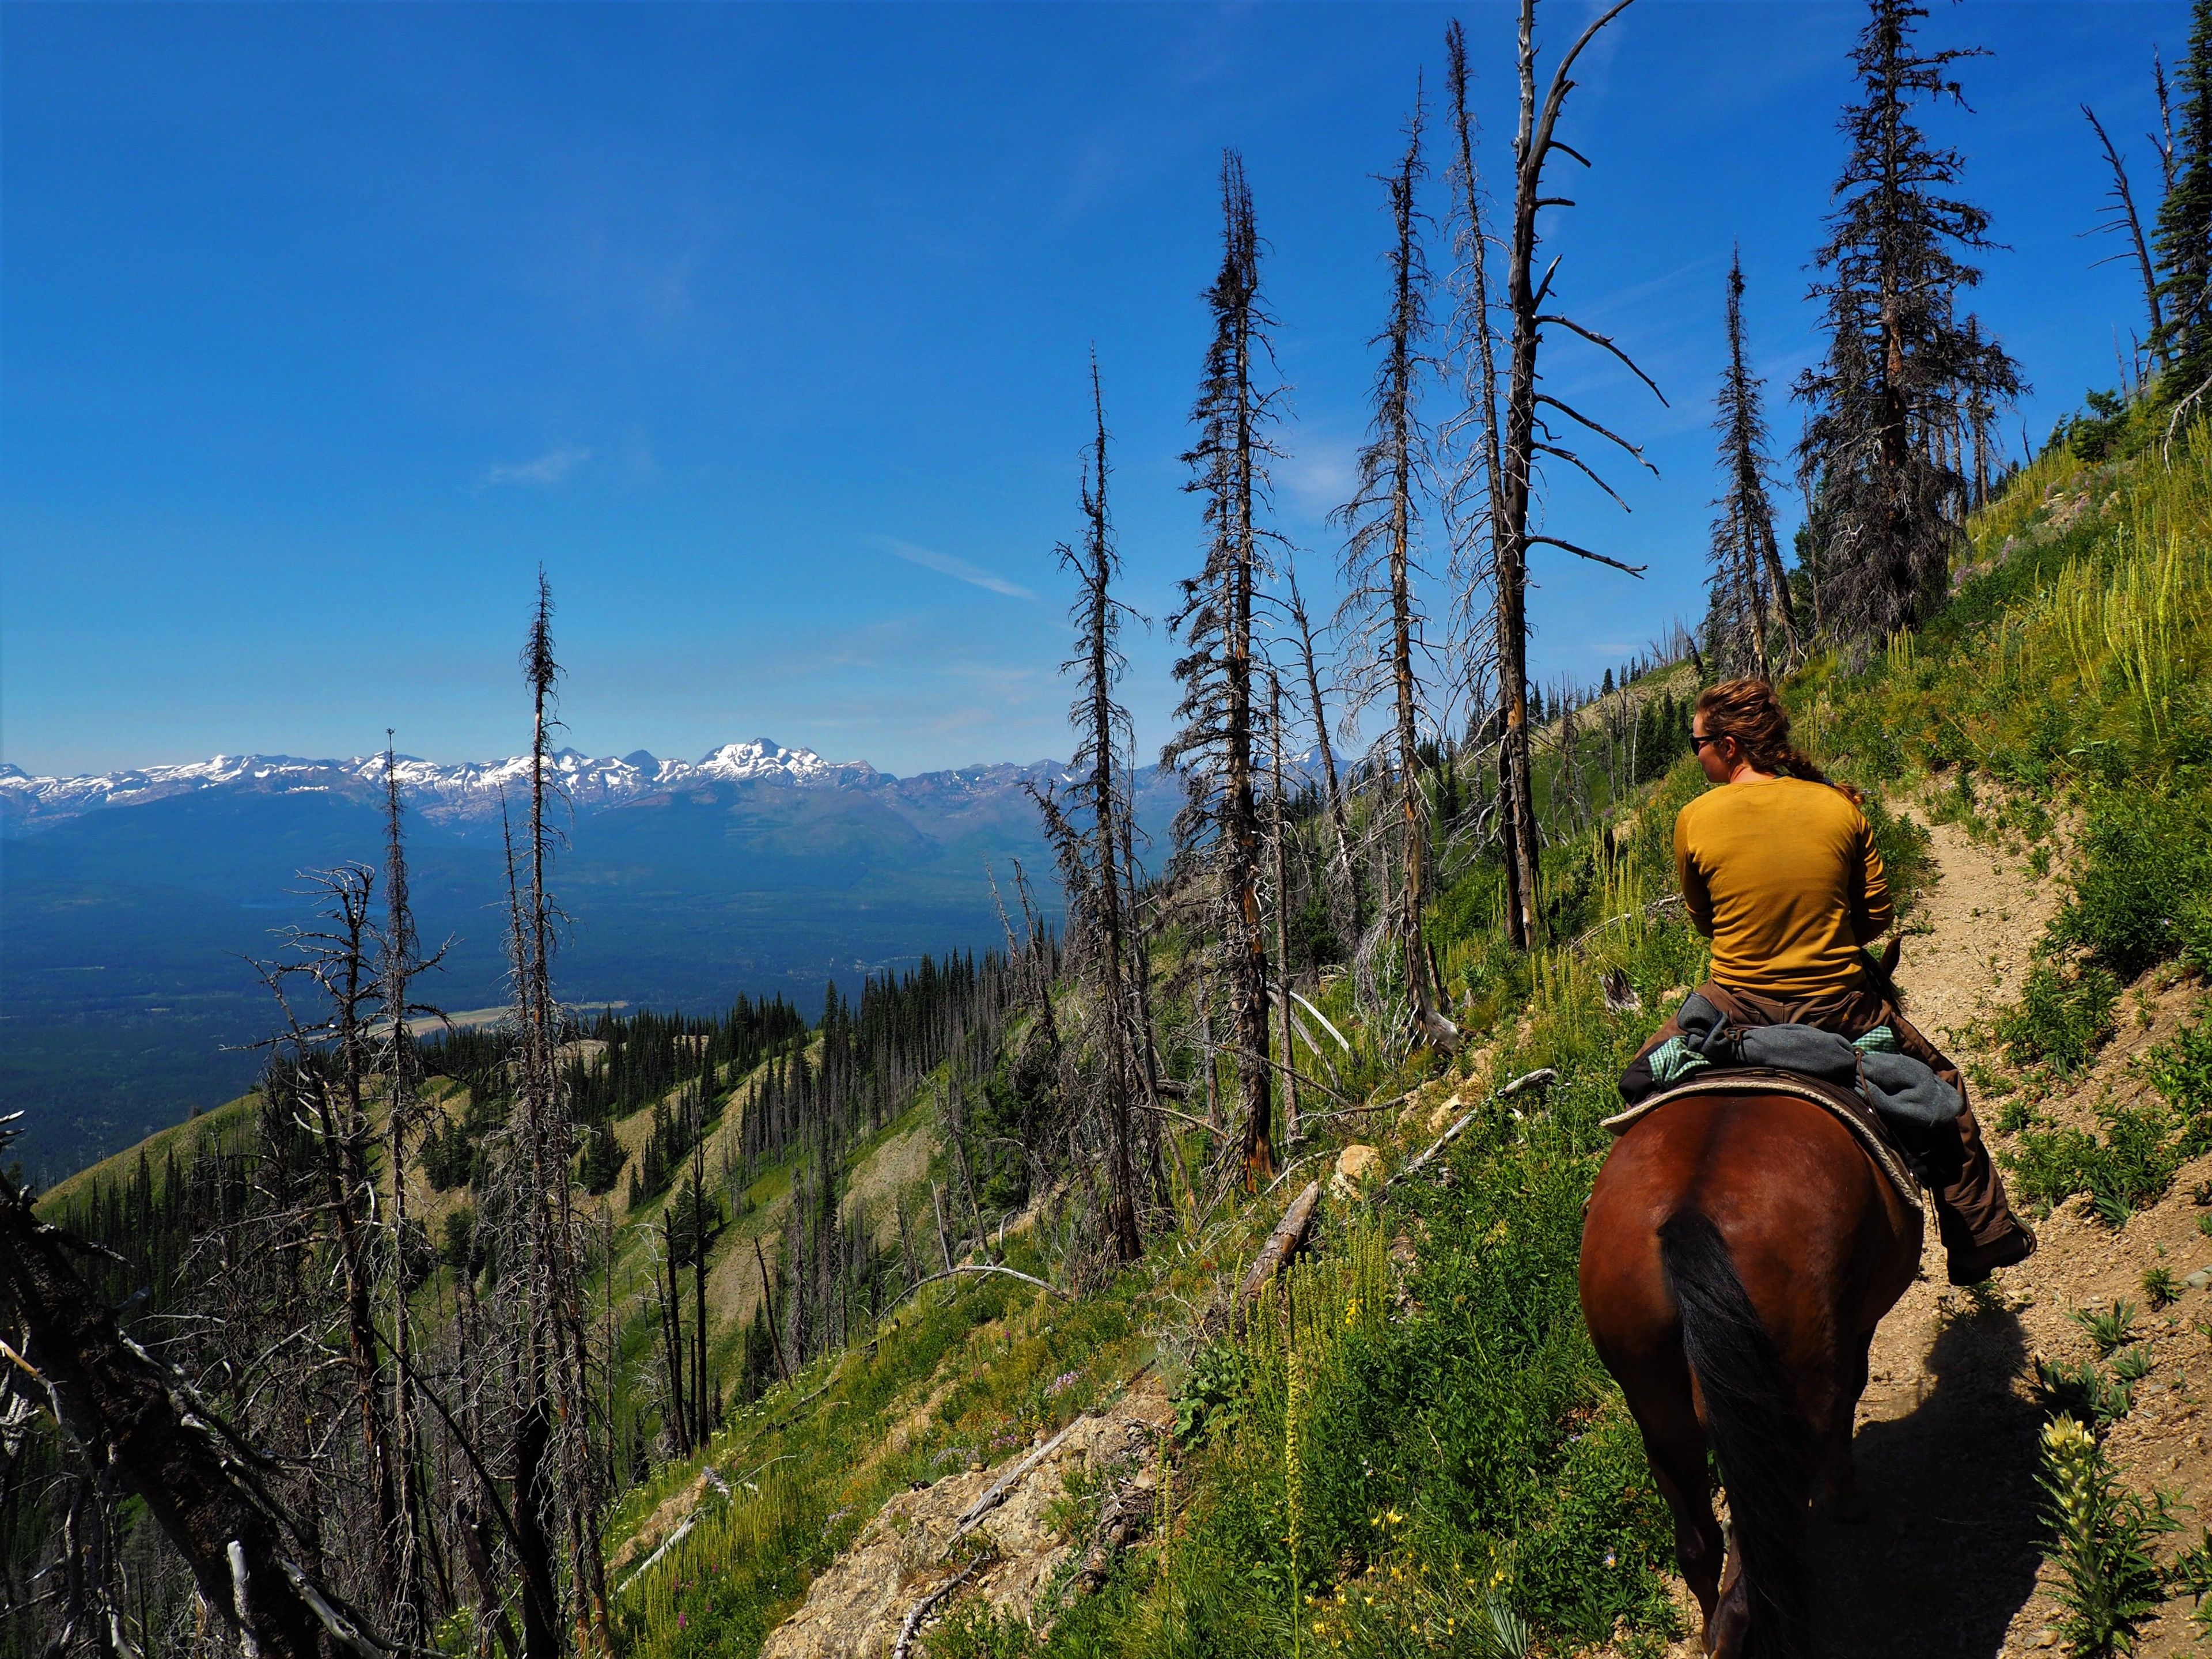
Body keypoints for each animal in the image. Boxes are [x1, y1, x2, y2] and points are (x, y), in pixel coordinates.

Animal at [1584, 1092, 1929, 1659]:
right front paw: (1847, 1498)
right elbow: (1852, 1396)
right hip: (1794, 1406)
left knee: (1700, 1551)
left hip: (1660, 1412)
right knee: (1753, 1587)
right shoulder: (1856, 1329)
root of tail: (1689, 1214)